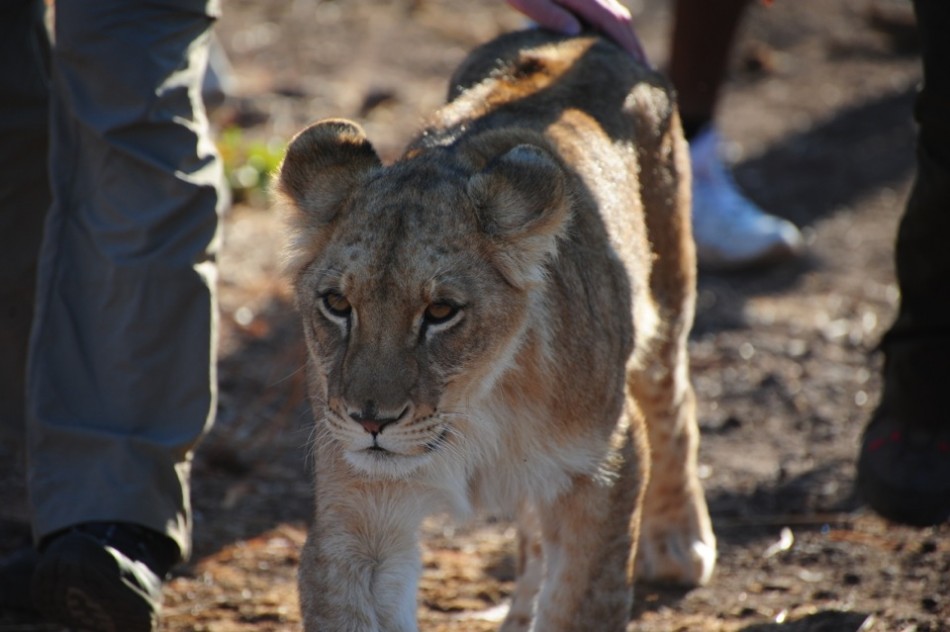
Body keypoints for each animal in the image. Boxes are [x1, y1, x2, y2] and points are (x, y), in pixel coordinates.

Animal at [276, 28, 716, 632]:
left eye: (441, 312)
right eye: (338, 304)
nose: (371, 422)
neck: (476, 411)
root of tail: (580, 35)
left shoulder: (604, 467)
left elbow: (579, 605)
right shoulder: (359, 512)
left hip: (667, 295)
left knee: (674, 400)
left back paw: (678, 540)